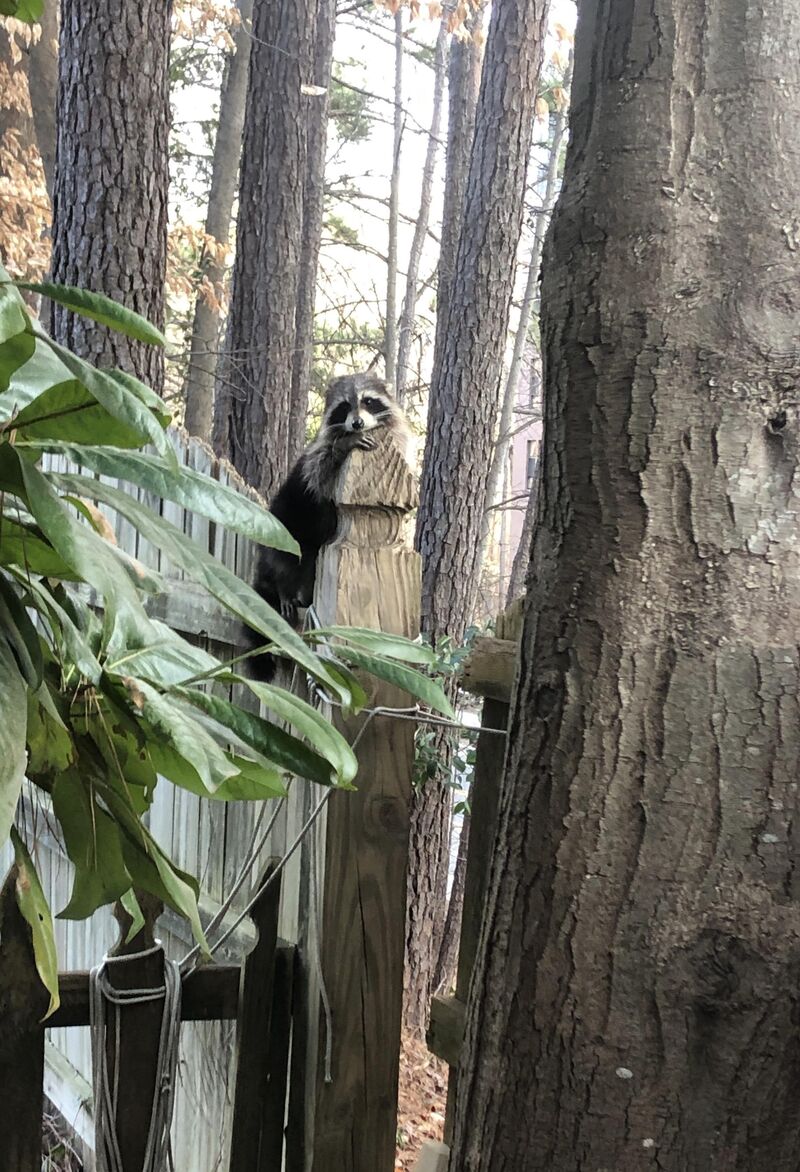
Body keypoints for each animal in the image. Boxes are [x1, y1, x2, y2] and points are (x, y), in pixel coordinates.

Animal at [248, 373, 411, 680]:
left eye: (368, 401)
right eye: (344, 407)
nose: (356, 423)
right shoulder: (315, 458)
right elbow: (318, 473)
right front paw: (342, 447)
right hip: (284, 530)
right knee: (284, 559)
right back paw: (285, 588)